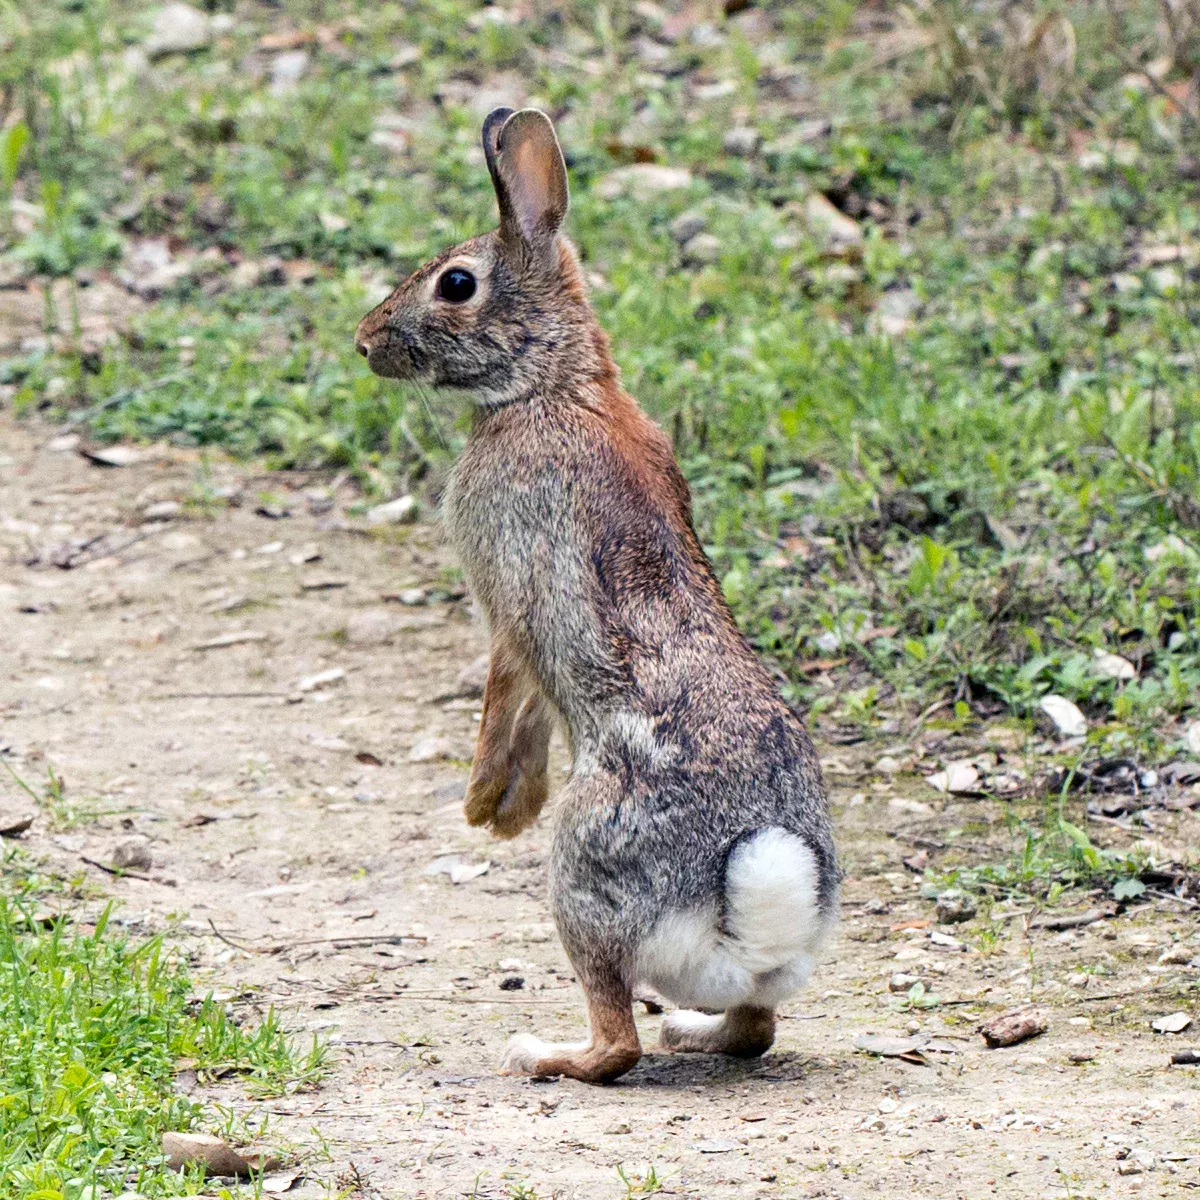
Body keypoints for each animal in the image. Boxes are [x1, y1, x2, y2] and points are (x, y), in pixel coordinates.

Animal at [355, 107, 837, 1084]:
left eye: (456, 283)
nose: (366, 339)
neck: (554, 384)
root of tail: (746, 911)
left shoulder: (506, 596)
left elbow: (508, 691)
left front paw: (486, 806)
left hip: (582, 873)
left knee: (617, 1039)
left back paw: (544, 1055)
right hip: (741, 973)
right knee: (754, 1029)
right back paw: (691, 1031)